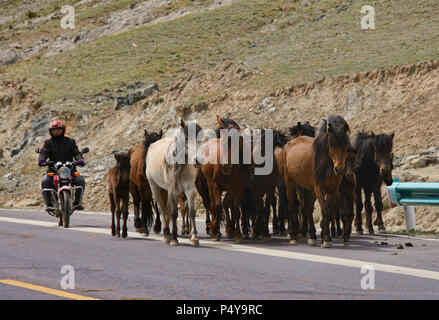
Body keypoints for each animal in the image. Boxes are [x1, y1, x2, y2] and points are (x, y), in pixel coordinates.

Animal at [286, 115, 350, 248]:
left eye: (346, 144)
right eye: (332, 144)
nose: (340, 169)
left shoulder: (332, 190)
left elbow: (329, 213)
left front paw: (324, 237)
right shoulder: (319, 188)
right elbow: (325, 212)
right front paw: (326, 239)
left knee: (308, 208)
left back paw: (312, 236)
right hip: (290, 182)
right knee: (292, 207)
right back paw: (293, 236)